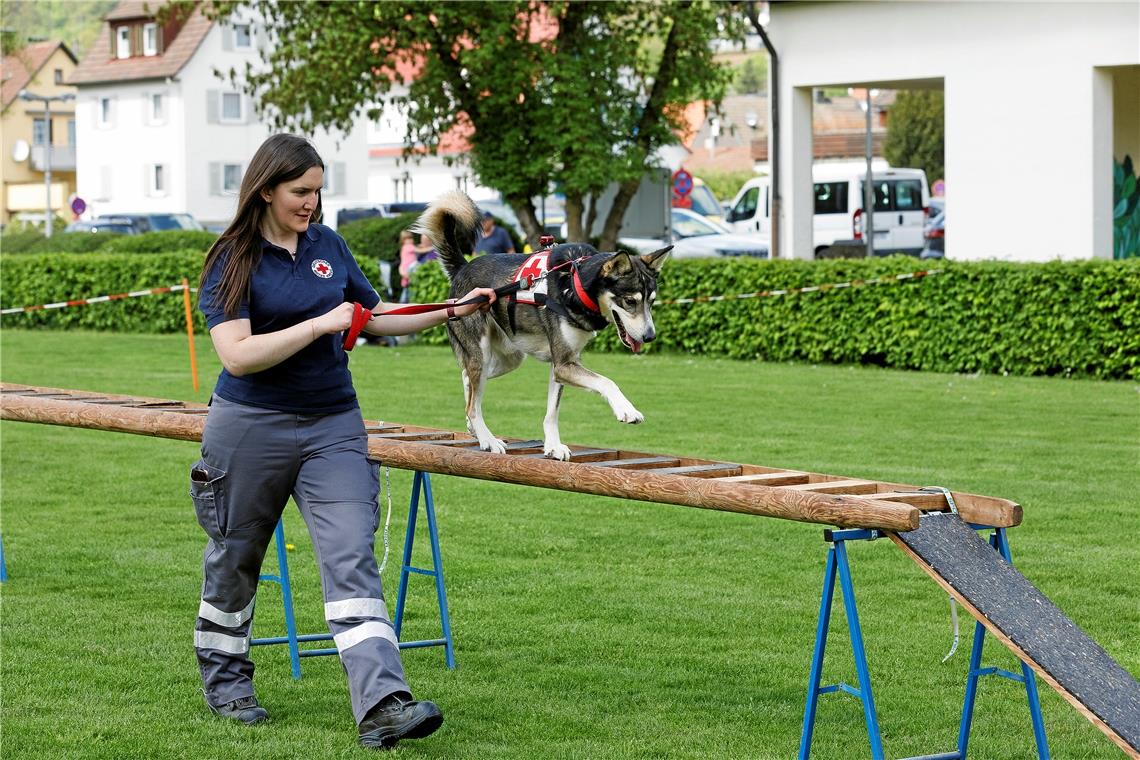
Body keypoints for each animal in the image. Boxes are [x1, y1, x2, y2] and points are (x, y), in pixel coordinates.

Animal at [417, 193, 665, 460]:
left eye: (652, 302)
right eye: (630, 301)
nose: (650, 336)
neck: (575, 283)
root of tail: (463, 267)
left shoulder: (562, 365)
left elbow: (551, 412)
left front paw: (553, 446)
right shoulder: (565, 365)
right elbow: (606, 381)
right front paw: (627, 410)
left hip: (507, 359)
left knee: (467, 381)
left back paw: (474, 428)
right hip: (482, 353)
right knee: (473, 404)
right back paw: (487, 439)